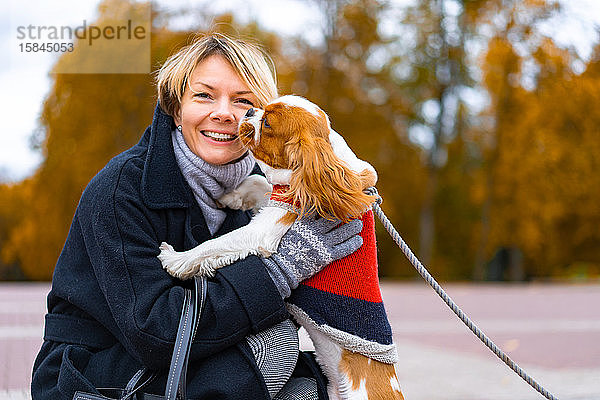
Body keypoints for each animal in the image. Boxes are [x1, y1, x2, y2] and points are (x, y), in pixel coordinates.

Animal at [158, 95, 404, 398]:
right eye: (260, 108)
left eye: (266, 123)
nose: (249, 112)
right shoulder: (281, 197)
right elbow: (259, 181)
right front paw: (231, 196)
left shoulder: (267, 228)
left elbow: (214, 245)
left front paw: (175, 259)